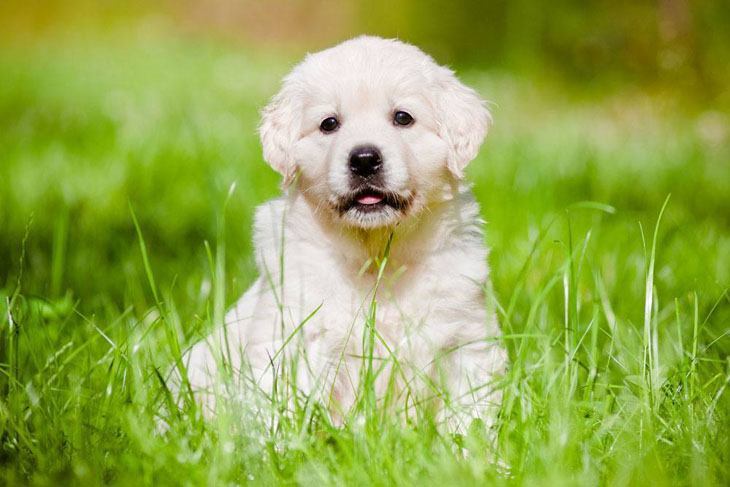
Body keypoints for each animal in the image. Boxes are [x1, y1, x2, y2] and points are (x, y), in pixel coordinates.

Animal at [178, 36, 506, 430]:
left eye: (403, 117)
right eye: (329, 124)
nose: (364, 159)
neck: (376, 255)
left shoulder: (464, 337)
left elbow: (469, 411)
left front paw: (471, 448)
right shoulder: (298, 333)